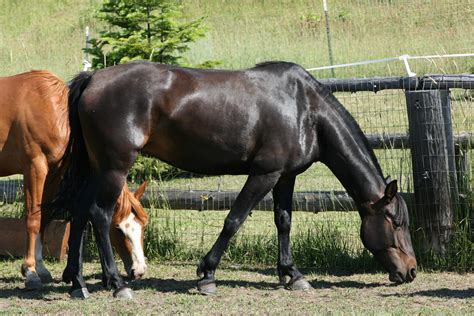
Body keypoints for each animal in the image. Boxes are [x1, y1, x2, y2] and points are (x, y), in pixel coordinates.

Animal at [0, 71, 148, 292]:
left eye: (142, 227)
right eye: (118, 230)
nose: (138, 271)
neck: (52, 109)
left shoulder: (54, 172)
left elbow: (44, 218)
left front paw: (41, 268)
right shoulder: (35, 167)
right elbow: (33, 219)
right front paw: (30, 272)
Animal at [52, 61, 418, 298]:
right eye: (395, 221)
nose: (412, 271)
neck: (305, 109)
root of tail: (94, 78)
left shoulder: (285, 176)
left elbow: (284, 221)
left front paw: (292, 274)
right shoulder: (264, 174)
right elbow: (234, 220)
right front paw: (207, 274)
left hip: (96, 168)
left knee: (80, 213)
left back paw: (78, 282)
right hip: (114, 167)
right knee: (100, 216)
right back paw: (117, 284)